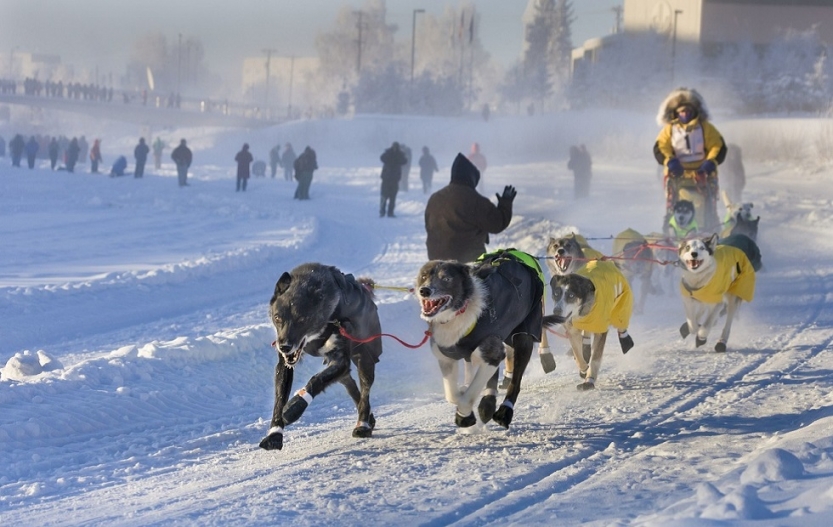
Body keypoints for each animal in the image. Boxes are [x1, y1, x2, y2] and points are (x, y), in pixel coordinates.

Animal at [258, 262, 382, 452]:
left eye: (302, 319)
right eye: (278, 317)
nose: (285, 346)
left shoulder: (340, 359)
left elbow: (316, 380)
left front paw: (295, 406)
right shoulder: (285, 363)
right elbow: (279, 399)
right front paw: (275, 434)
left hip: (365, 356)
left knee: (364, 390)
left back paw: (363, 424)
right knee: (350, 385)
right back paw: (369, 418)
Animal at [416, 252, 544, 428]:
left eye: (446, 278)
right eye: (424, 276)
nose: (424, 290)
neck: (459, 312)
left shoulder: (492, 353)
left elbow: (467, 396)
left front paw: (464, 415)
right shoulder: (447, 358)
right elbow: (452, 395)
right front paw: (463, 397)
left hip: (523, 335)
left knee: (515, 381)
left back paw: (504, 411)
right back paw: (487, 403)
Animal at [544, 260, 632, 392]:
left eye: (571, 295)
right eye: (556, 293)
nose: (556, 311)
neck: (582, 311)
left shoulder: (600, 330)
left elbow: (595, 358)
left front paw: (589, 380)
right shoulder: (572, 330)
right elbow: (577, 353)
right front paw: (584, 369)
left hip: (621, 301)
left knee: (620, 320)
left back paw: (625, 340)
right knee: (585, 336)